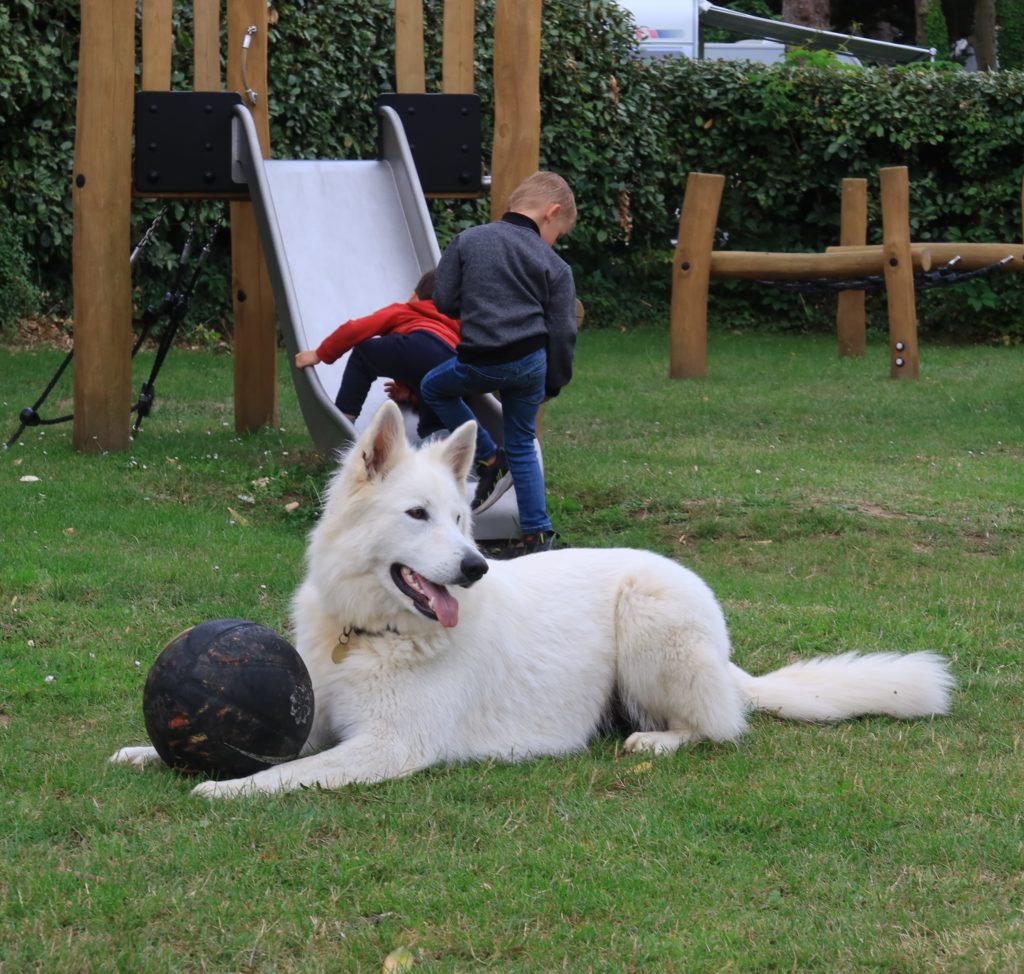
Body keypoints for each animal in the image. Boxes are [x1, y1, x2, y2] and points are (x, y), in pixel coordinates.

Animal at [116, 399, 954, 794]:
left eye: (461, 521)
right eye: (418, 517)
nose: (475, 568)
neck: (374, 633)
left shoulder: (388, 746)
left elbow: (283, 773)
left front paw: (224, 790)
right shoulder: (322, 719)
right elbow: (272, 751)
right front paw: (145, 751)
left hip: (650, 620)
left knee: (717, 726)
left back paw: (657, 739)